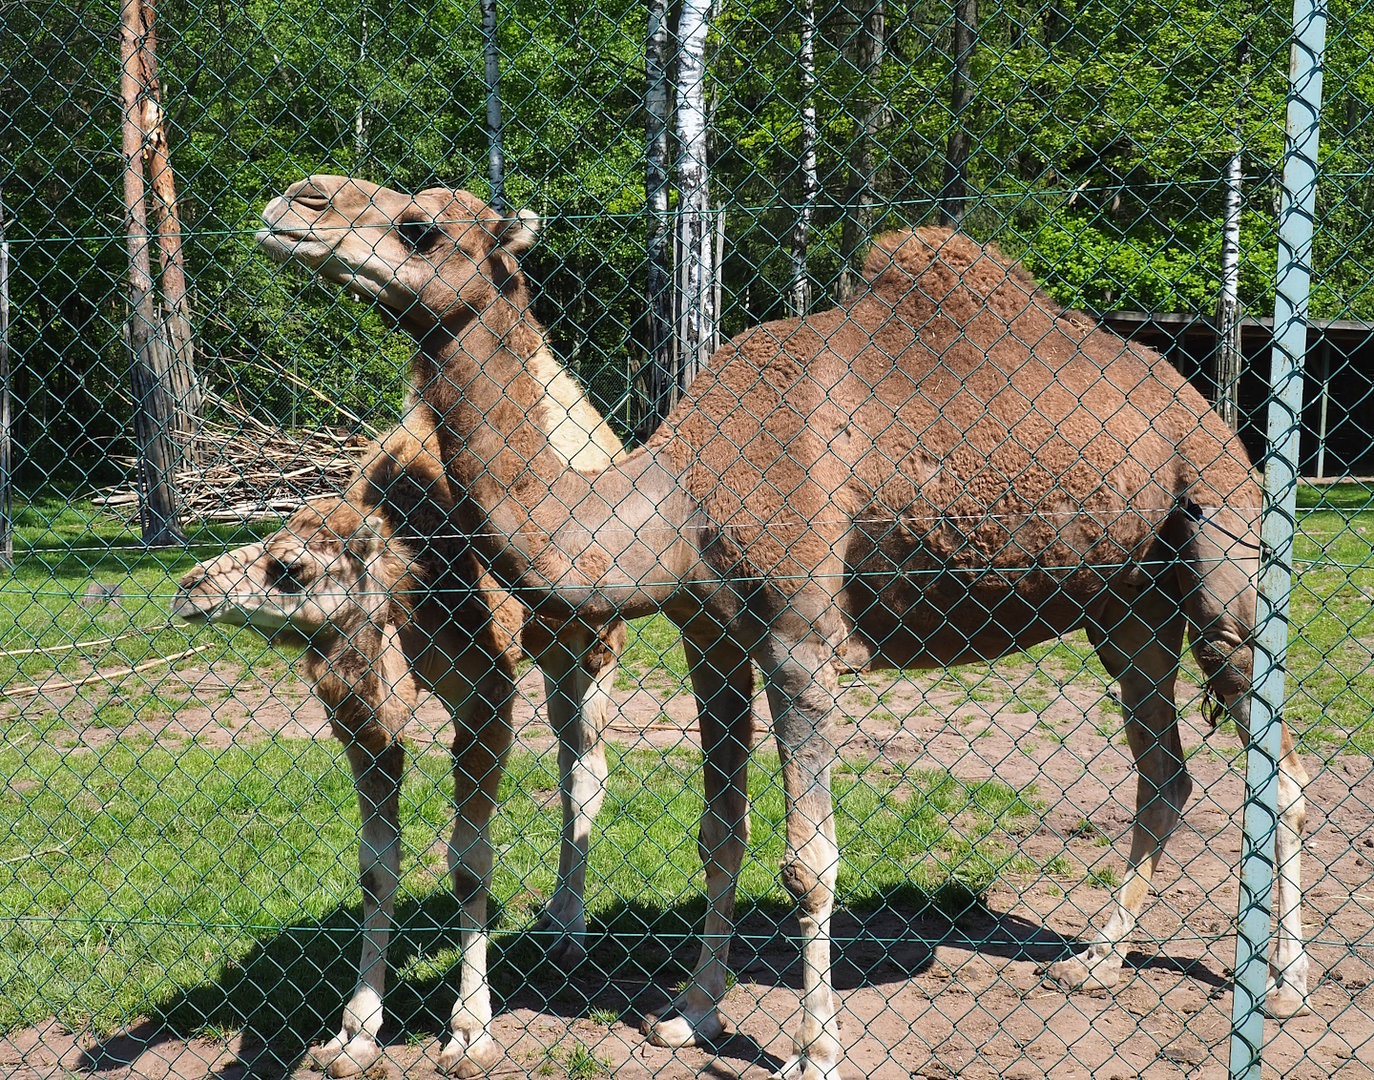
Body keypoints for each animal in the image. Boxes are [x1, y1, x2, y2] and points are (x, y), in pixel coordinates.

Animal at [175, 411, 627, 1077]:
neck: (414, 576)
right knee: (572, 759)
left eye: (289, 569)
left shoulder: (488, 693)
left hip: (590, 638)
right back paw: (555, 919)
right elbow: (374, 868)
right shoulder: (364, 723)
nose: (188, 587)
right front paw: (355, 1034)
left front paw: (470, 1032)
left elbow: (469, 864)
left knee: (586, 768)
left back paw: (569, 935)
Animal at [255, 175, 1310, 1080]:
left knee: (1280, 765)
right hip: (1123, 604)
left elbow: (810, 863)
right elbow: (720, 833)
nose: (293, 204)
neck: (680, 491)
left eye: (420, 227)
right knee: (1164, 767)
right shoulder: (711, 640)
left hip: (1221, 543)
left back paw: (1286, 988)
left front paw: (814, 1050)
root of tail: (1199, 401)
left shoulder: (804, 641)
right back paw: (1096, 959)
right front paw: (691, 1014)